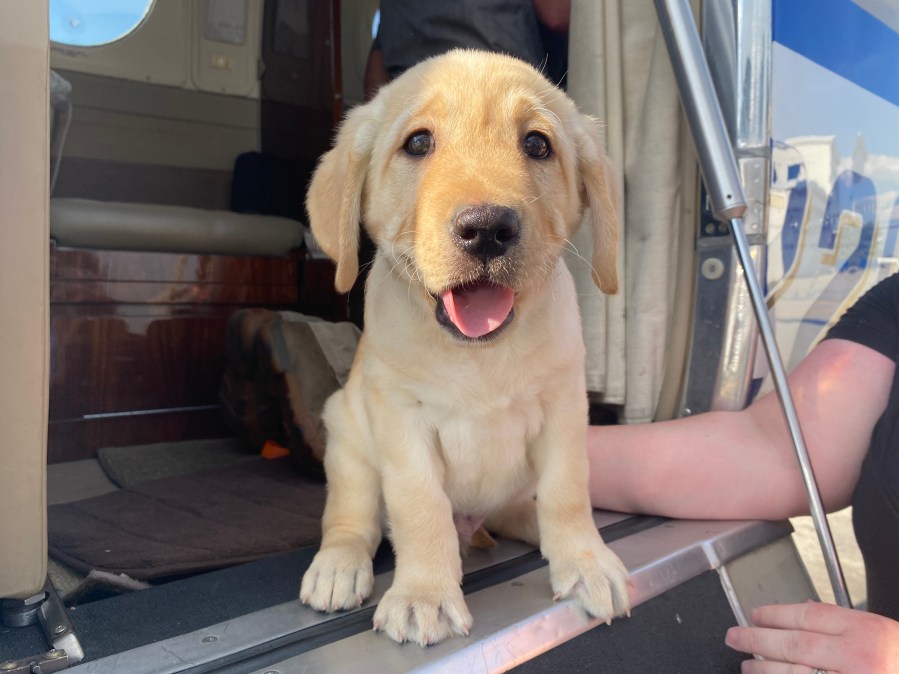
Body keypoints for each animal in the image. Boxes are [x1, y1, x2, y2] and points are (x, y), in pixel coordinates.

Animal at [299, 49, 630, 646]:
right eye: (418, 143)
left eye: (537, 145)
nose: (488, 229)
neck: (479, 355)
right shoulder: (400, 418)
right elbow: (419, 506)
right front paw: (423, 594)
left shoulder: (565, 408)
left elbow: (568, 491)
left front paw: (587, 561)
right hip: (347, 438)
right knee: (351, 520)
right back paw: (338, 566)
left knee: (528, 511)